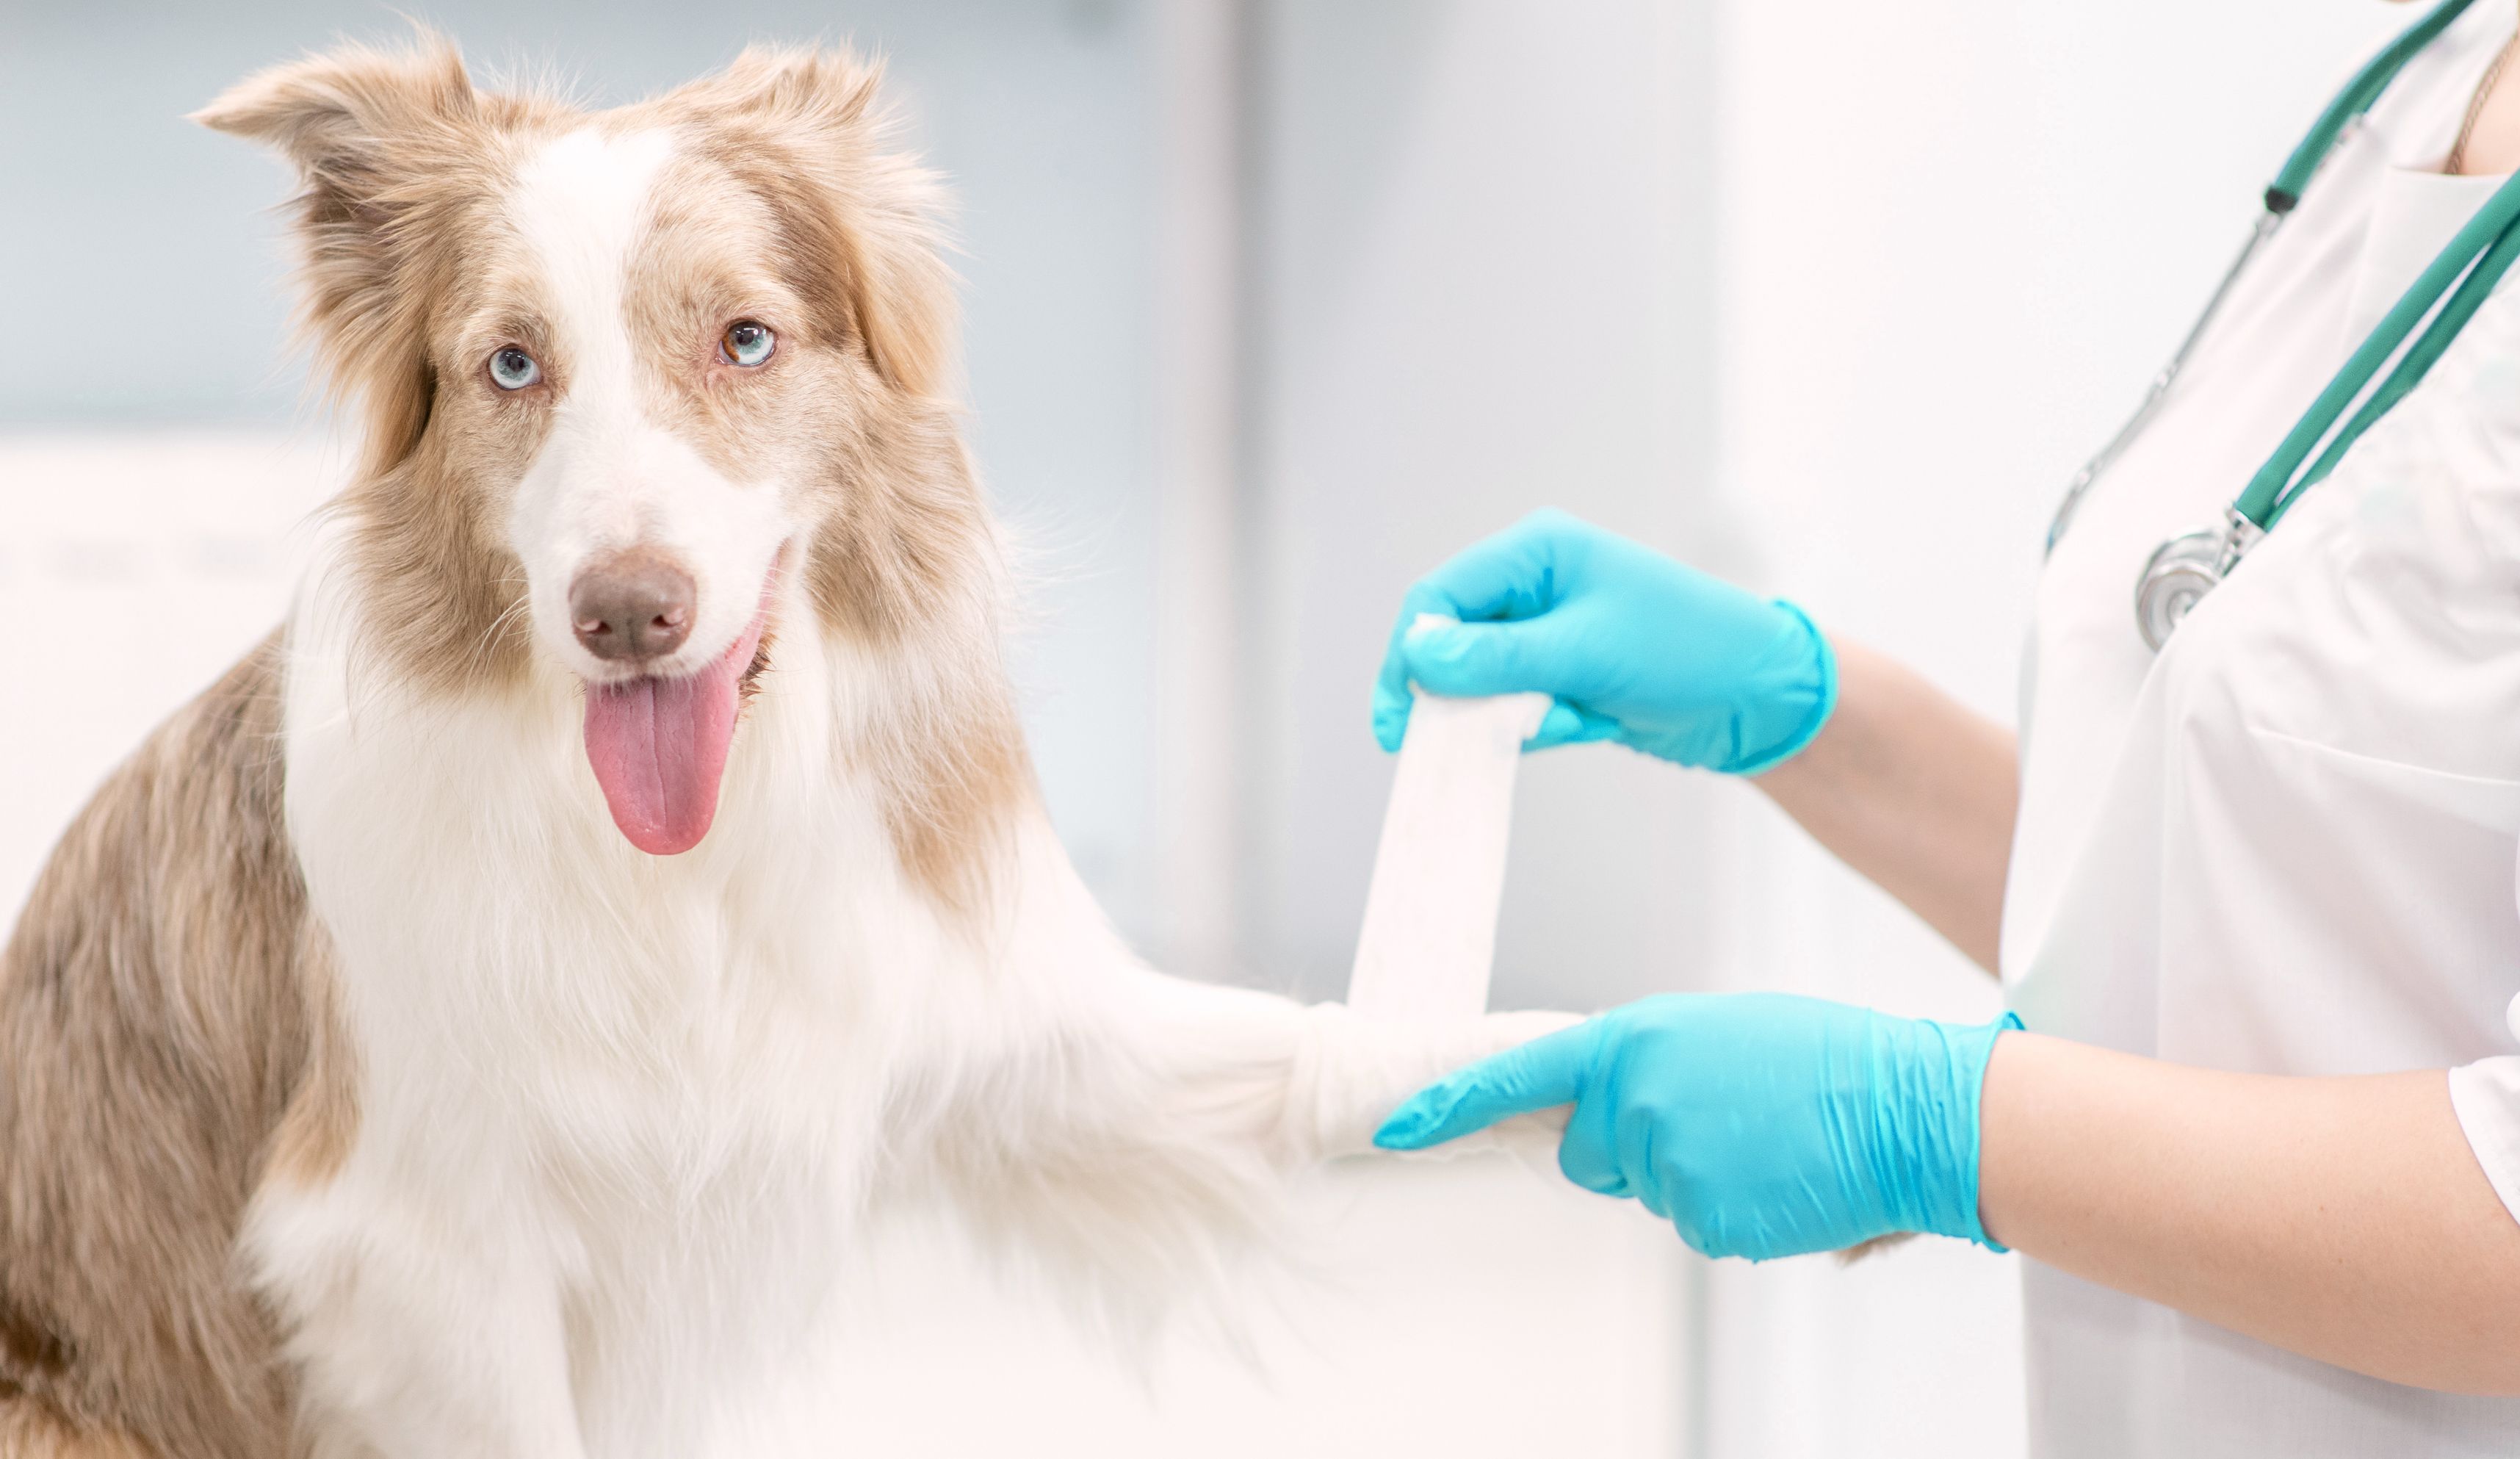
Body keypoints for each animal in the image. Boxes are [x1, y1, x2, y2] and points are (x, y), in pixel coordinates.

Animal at [0, 37, 1562, 1459]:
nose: (628, 613)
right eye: (512, 365)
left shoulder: (1024, 1045)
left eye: (744, 340)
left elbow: (1320, 1059)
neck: (680, 873)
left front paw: (1552, 1068)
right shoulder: (420, 1253)